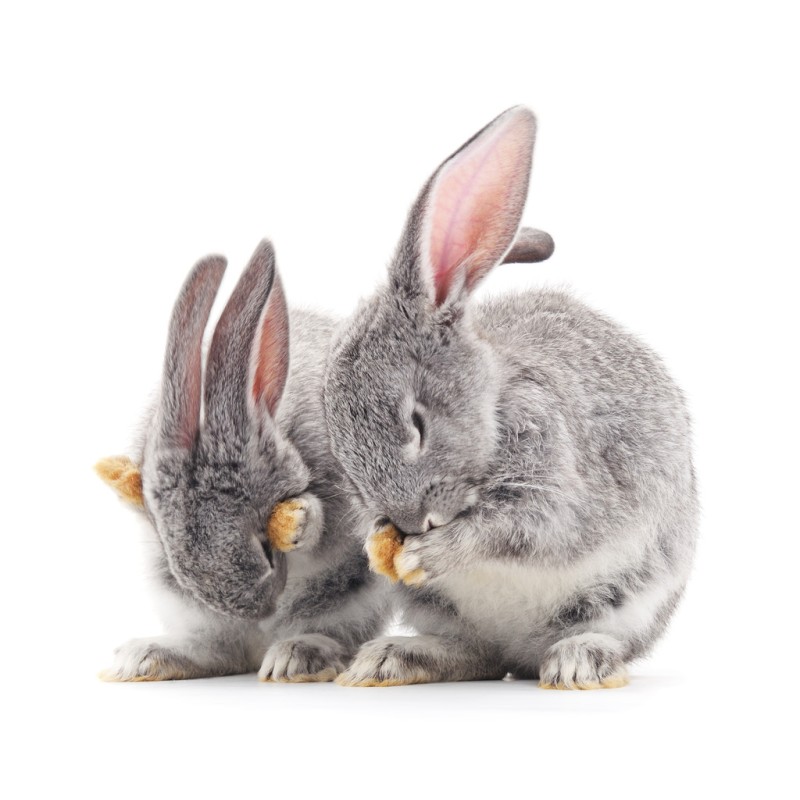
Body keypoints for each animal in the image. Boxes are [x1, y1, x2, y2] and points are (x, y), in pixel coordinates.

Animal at [96, 240, 388, 682]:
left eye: (266, 546)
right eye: (168, 546)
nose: (255, 609)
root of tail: (259, 644)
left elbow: (323, 527)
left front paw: (299, 521)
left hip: (349, 599)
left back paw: (295, 658)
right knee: (219, 651)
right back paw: (145, 657)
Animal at [322, 106, 698, 689]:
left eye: (418, 422)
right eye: (339, 444)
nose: (411, 522)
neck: (490, 413)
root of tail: (518, 655)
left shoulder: (557, 483)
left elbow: (520, 529)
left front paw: (435, 551)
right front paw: (379, 542)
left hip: (631, 595)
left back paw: (578, 661)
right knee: (477, 655)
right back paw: (392, 658)